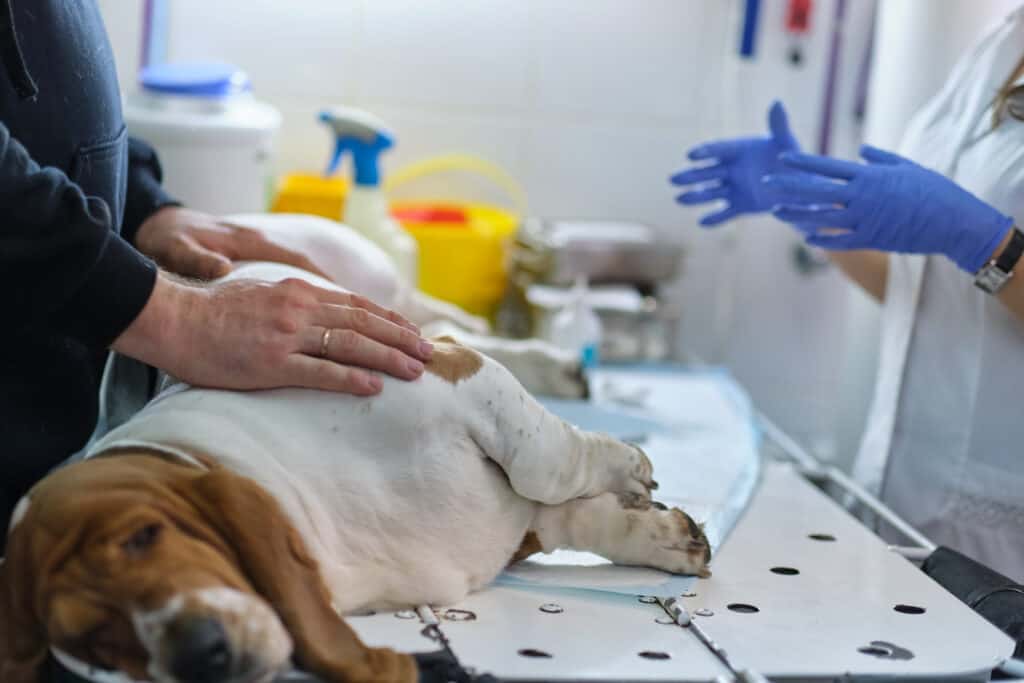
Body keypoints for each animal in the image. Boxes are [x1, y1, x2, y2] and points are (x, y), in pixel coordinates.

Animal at [0, 229, 712, 683]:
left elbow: (551, 462)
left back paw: (562, 366)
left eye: (145, 536)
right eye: (92, 643)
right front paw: (659, 535)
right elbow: (564, 510)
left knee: (459, 327)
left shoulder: (451, 374)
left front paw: (630, 468)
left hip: (390, 305)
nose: (201, 659)